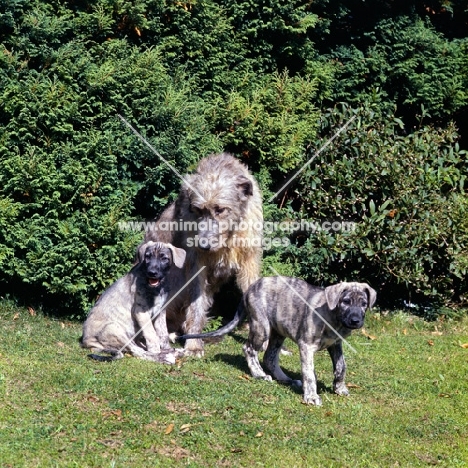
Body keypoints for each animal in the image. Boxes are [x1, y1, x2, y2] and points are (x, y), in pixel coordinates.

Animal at [145, 152, 264, 356]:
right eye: (198, 210)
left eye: (220, 209)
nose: (203, 245)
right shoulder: (195, 262)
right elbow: (196, 303)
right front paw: (193, 345)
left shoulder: (249, 258)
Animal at [179, 276, 376, 404]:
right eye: (346, 301)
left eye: (364, 304)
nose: (356, 321)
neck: (334, 317)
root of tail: (250, 288)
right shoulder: (306, 346)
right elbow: (309, 373)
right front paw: (311, 396)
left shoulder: (336, 345)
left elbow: (341, 367)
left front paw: (340, 388)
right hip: (262, 327)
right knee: (249, 348)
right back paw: (259, 374)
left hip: (278, 332)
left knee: (270, 357)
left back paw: (286, 380)